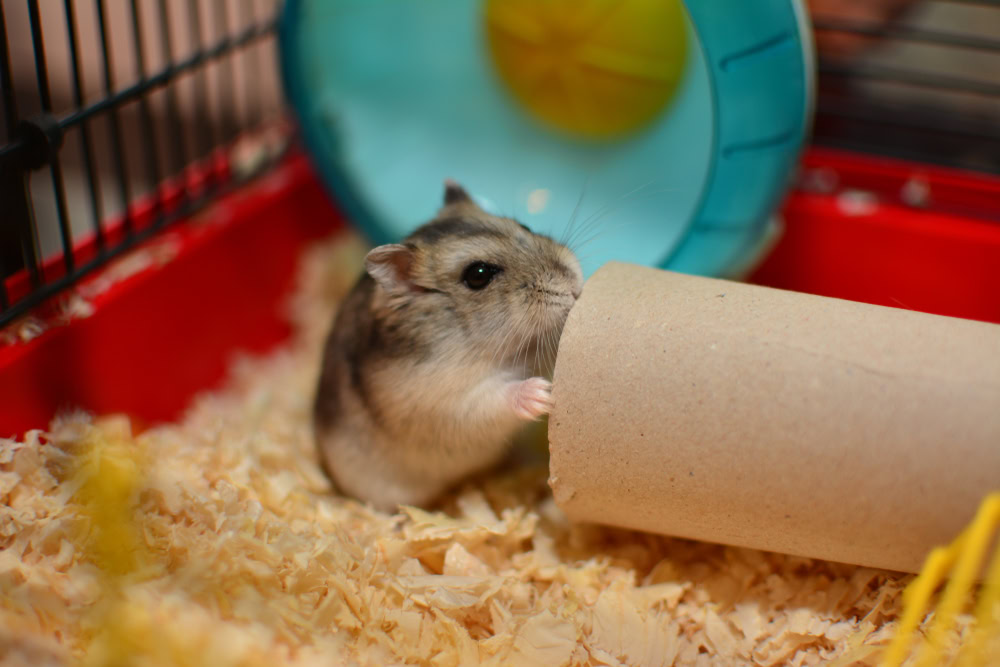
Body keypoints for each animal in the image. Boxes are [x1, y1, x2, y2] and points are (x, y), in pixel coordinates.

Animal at [313, 181, 584, 512]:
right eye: (478, 275)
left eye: (525, 225)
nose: (575, 284)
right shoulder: (442, 403)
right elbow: (493, 398)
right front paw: (542, 393)